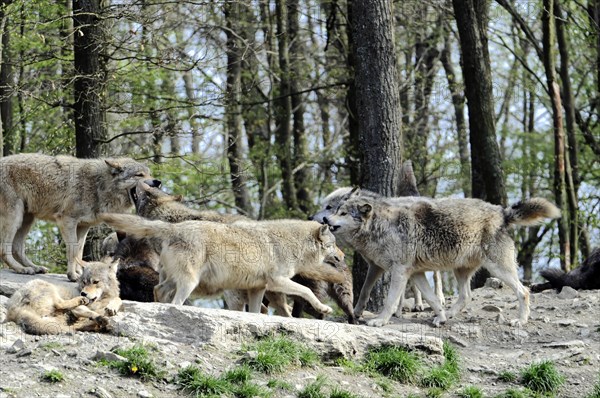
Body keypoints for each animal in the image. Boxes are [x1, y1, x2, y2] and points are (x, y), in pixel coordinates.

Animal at [0, 152, 159, 280]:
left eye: (150, 174)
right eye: (139, 175)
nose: (158, 182)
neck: (98, 185)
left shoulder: (83, 226)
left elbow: (79, 251)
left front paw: (79, 273)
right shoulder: (67, 221)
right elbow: (72, 251)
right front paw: (72, 276)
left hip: (27, 219)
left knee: (17, 248)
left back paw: (34, 267)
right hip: (15, 217)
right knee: (4, 249)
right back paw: (21, 269)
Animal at [98, 211, 342, 314]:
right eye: (333, 244)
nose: (343, 256)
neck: (290, 243)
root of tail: (174, 228)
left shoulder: (258, 288)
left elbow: (256, 313)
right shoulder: (277, 282)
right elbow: (306, 291)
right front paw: (324, 308)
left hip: (172, 280)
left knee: (159, 291)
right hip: (190, 283)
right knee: (175, 302)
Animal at [326, 192, 560, 326]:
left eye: (343, 213)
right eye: (336, 210)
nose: (326, 219)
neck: (382, 226)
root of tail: (501, 212)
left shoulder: (400, 272)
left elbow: (391, 301)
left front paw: (380, 321)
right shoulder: (416, 273)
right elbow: (431, 298)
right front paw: (440, 317)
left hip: (498, 270)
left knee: (524, 291)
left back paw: (520, 321)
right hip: (461, 271)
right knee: (466, 296)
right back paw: (449, 314)